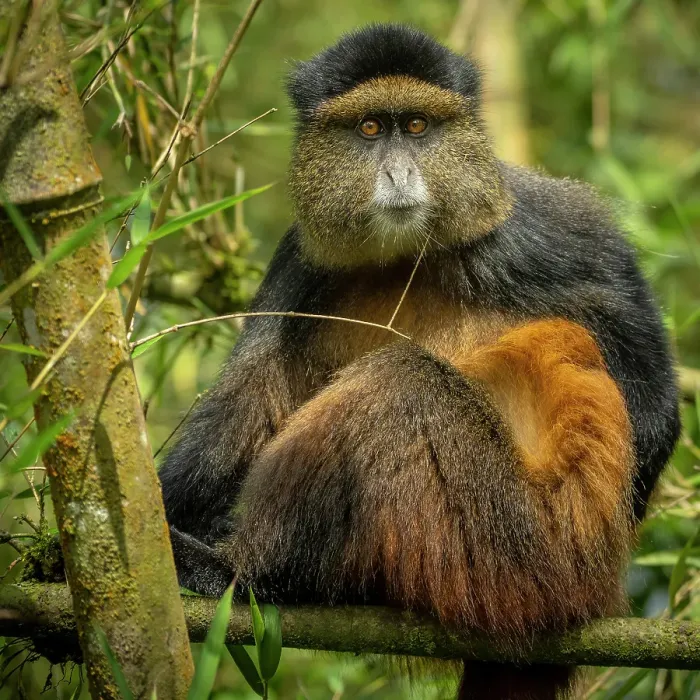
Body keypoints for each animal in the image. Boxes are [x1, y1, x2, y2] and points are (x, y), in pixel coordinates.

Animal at [159, 24, 681, 700]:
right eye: (369, 129)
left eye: (416, 126)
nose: (400, 171)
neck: (409, 254)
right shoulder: (300, 260)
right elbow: (248, 398)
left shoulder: (549, 229)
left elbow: (655, 397)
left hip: (513, 543)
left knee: (397, 386)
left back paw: (241, 571)